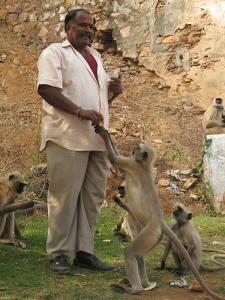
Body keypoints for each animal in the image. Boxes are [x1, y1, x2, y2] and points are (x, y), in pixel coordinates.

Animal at [94, 124, 225, 300]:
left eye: (137, 148)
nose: (133, 147)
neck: (144, 166)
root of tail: (159, 221)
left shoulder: (132, 165)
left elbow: (114, 158)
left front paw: (102, 131)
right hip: (154, 237)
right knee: (139, 256)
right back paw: (144, 284)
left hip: (150, 232)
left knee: (130, 253)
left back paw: (135, 289)